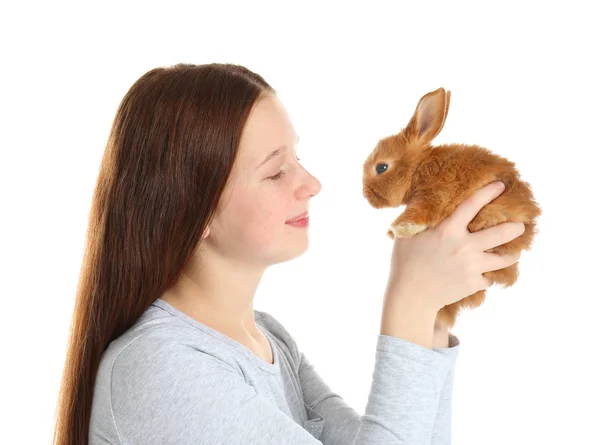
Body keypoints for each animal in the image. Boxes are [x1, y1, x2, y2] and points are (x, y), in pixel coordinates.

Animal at [364, 87, 540, 330]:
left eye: (381, 167)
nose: (366, 195)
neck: (419, 167)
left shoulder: (435, 193)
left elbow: (421, 212)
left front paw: (398, 228)